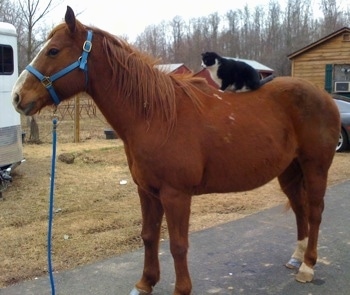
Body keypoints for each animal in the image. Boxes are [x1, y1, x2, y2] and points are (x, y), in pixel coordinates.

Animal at [12, 5, 340, 295]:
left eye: (53, 51)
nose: (17, 97)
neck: (155, 116)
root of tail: (325, 96)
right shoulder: (146, 191)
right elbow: (148, 236)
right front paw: (145, 283)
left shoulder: (176, 195)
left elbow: (178, 244)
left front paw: (181, 289)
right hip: (289, 171)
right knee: (299, 208)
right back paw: (297, 258)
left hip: (315, 167)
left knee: (315, 211)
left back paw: (308, 267)